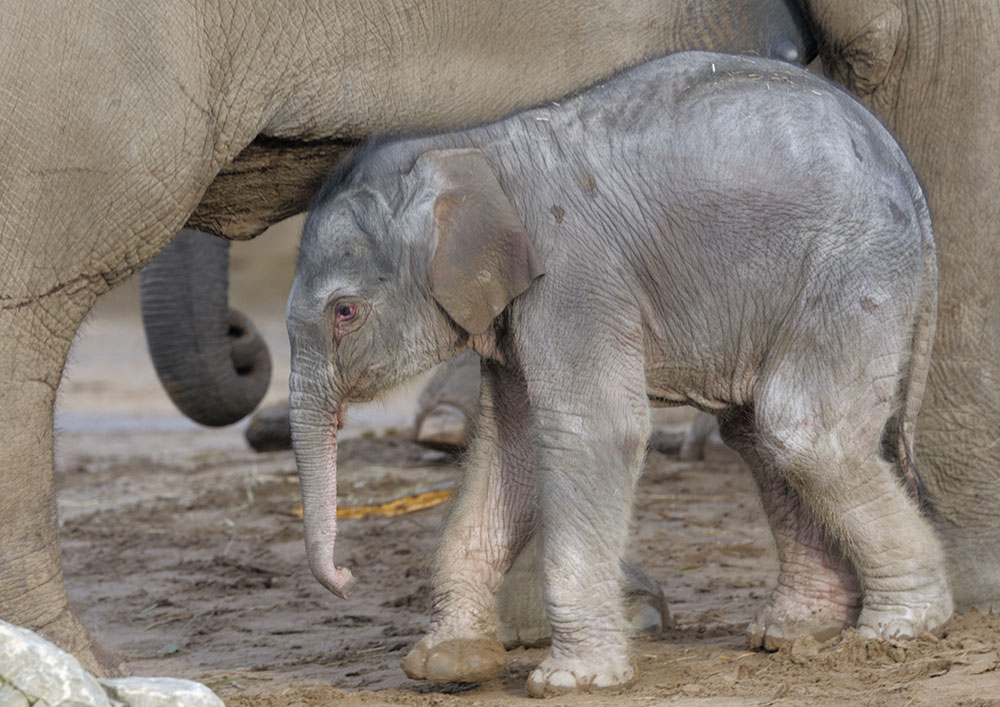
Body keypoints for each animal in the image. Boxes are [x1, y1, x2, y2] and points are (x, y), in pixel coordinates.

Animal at [284, 50, 947, 695]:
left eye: (345, 313)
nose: (346, 577)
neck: (471, 145)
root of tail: (911, 182)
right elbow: (509, 452)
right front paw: (447, 665)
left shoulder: (575, 277)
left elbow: (595, 432)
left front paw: (572, 680)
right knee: (757, 432)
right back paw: (793, 632)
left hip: (854, 269)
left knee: (805, 433)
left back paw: (899, 630)